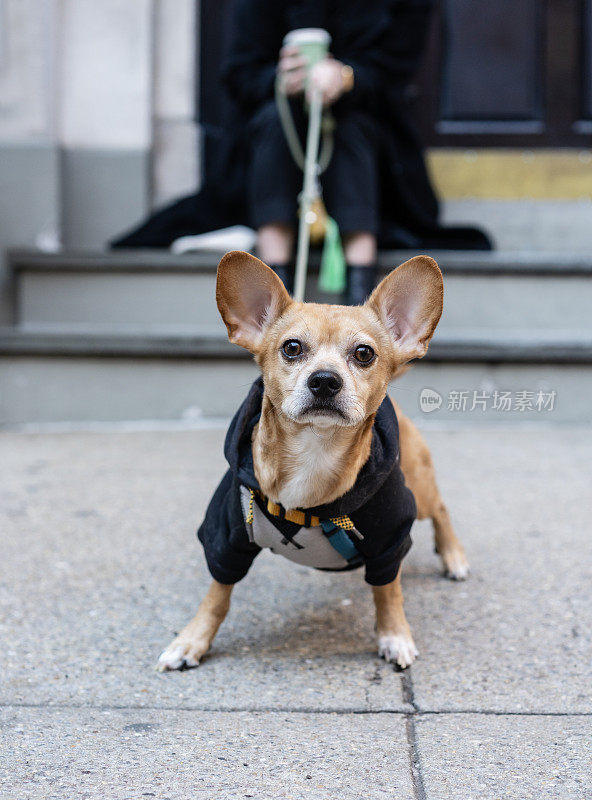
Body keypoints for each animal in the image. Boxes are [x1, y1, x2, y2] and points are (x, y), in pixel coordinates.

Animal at [158, 250, 472, 668]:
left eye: (364, 354)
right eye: (291, 348)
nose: (324, 379)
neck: (314, 453)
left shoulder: (389, 543)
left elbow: (388, 592)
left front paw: (394, 634)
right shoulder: (225, 537)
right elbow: (217, 595)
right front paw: (192, 639)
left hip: (418, 492)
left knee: (440, 508)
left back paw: (453, 555)